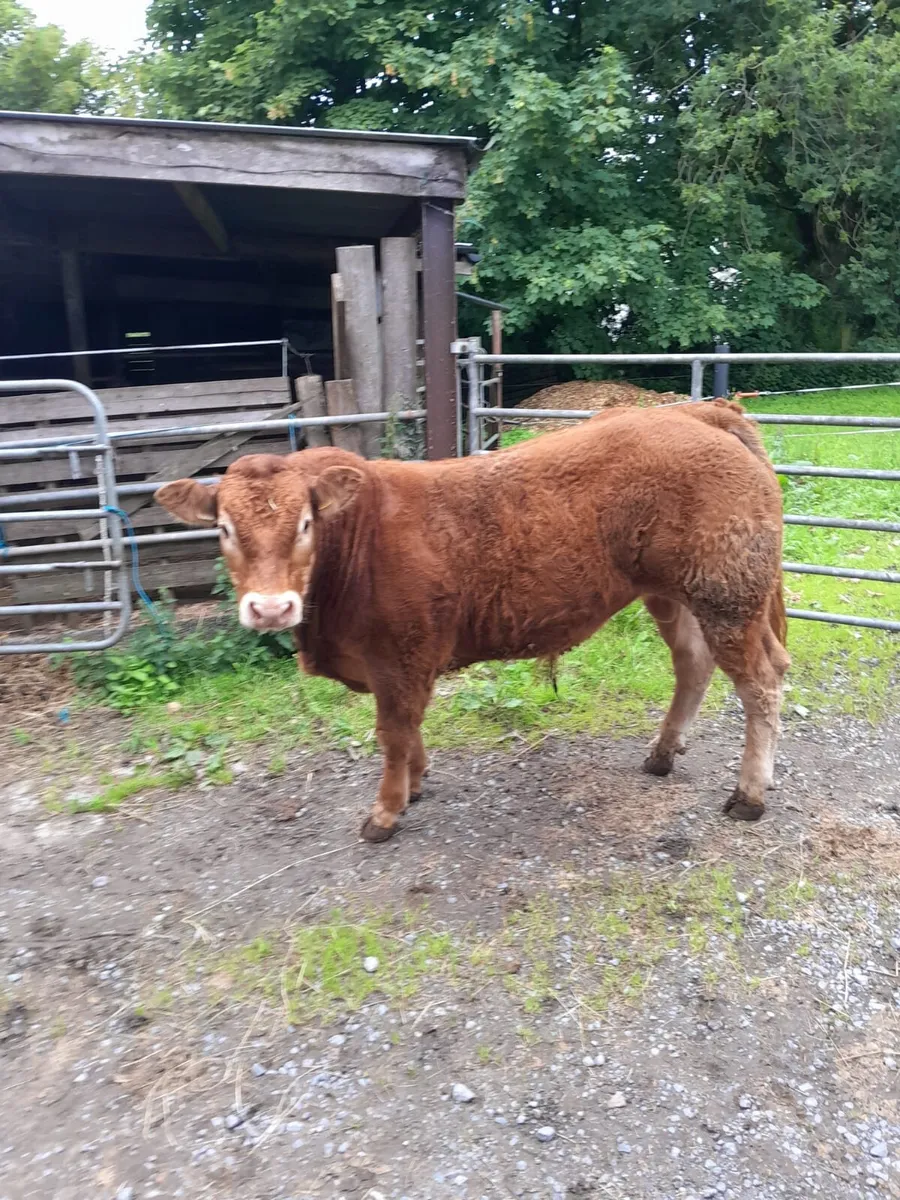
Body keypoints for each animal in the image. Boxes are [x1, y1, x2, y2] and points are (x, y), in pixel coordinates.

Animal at [155, 400, 790, 844]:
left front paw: (386, 810)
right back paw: (663, 753)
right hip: (675, 593)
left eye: (306, 524)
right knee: (694, 664)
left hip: (727, 594)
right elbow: (408, 731)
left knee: (760, 684)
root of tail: (695, 411)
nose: (270, 608)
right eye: (224, 528)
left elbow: (393, 731)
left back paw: (749, 794)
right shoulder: (397, 663)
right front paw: (416, 783)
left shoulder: (402, 654)